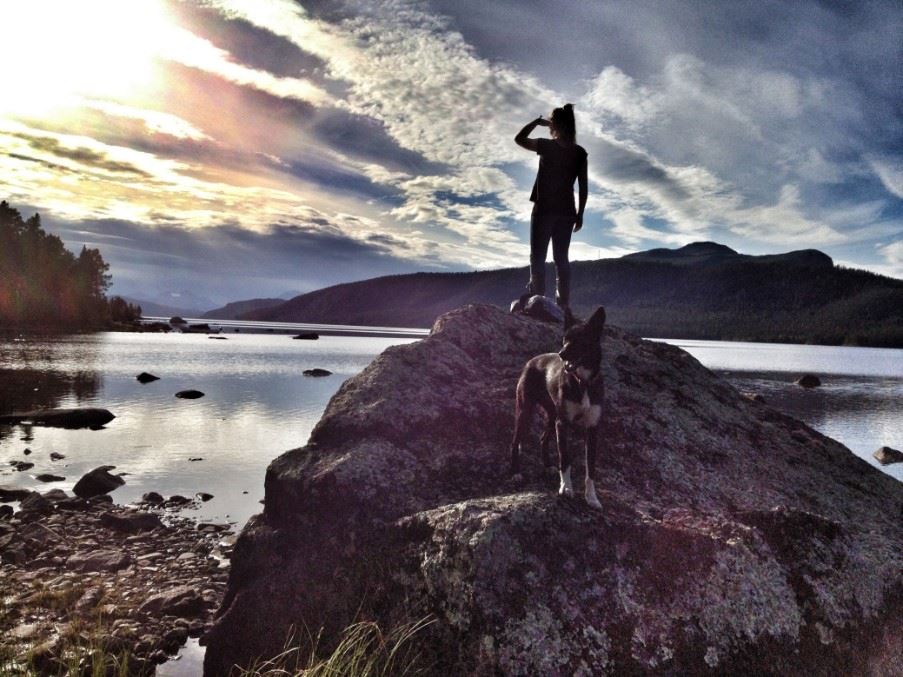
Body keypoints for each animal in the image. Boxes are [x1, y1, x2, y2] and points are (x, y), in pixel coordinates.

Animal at [508, 306, 608, 508]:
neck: (583, 382)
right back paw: (515, 473)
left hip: (552, 414)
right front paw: (566, 488)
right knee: (515, 441)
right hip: (525, 410)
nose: (562, 354)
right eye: (565, 338)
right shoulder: (563, 424)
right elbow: (565, 458)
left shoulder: (592, 428)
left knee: (543, 439)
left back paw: (547, 466)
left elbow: (590, 467)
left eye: (581, 339)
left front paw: (591, 497)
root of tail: (531, 361)